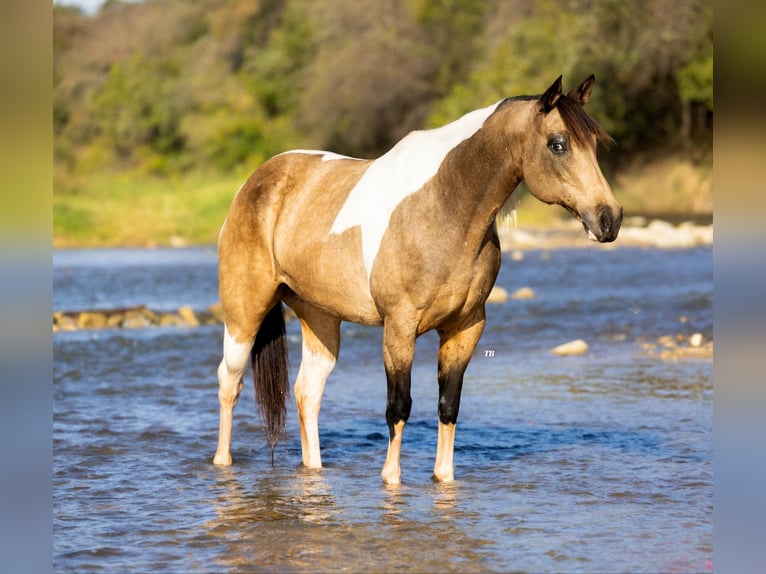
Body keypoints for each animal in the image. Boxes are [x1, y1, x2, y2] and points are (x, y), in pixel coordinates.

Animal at [213, 75, 621, 484]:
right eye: (558, 144)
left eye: (595, 144)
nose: (609, 219)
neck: (444, 206)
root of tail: (255, 182)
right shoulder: (399, 327)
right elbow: (399, 406)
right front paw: (390, 479)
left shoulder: (465, 327)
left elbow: (448, 405)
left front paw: (444, 477)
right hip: (244, 316)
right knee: (230, 381)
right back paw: (222, 461)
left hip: (320, 318)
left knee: (307, 392)